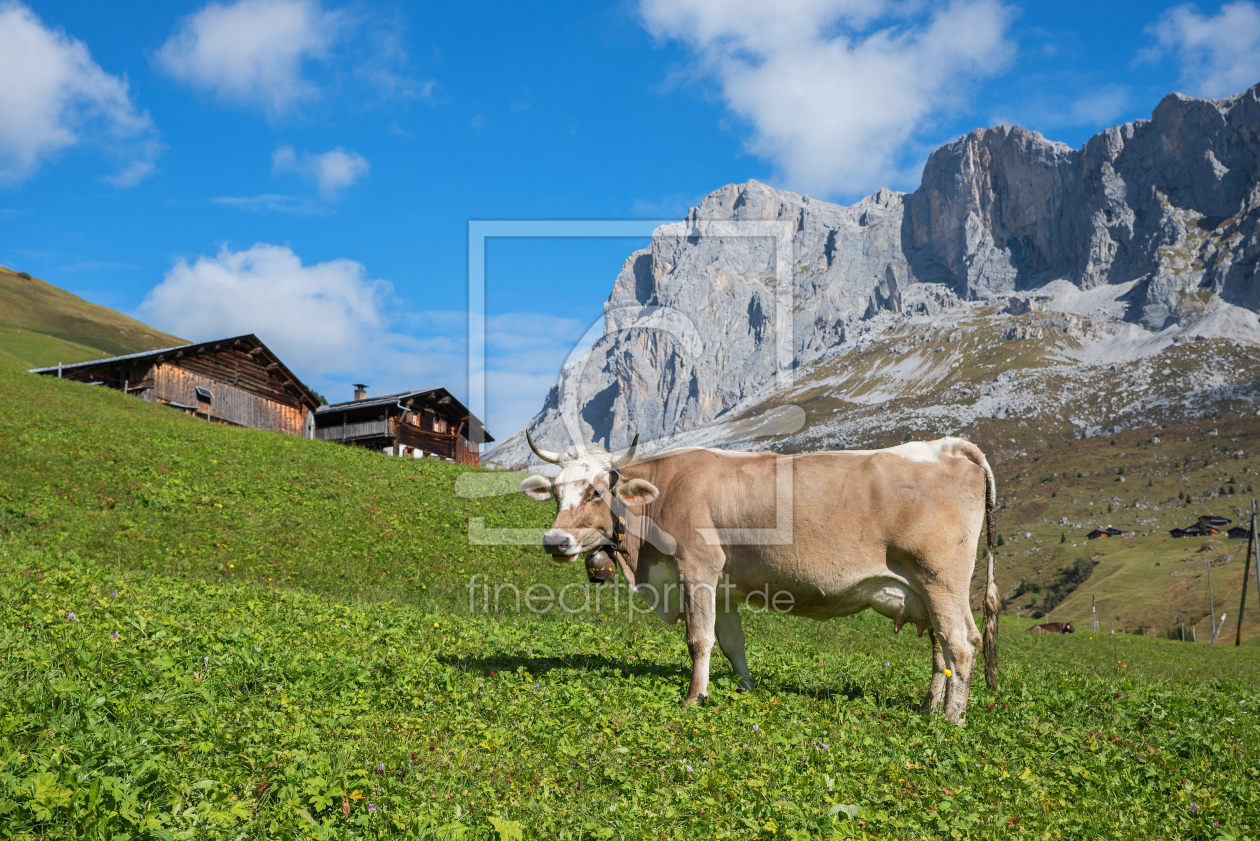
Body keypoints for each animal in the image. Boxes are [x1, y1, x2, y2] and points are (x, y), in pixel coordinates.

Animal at [516, 433, 997, 726]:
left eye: (596, 491)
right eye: (556, 492)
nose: (555, 540)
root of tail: (952, 446)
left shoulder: (698, 569)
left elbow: (699, 638)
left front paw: (695, 698)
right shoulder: (723, 585)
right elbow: (731, 643)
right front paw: (745, 689)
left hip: (941, 580)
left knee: (961, 642)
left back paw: (951, 720)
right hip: (923, 589)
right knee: (940, 649)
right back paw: (930, 708)